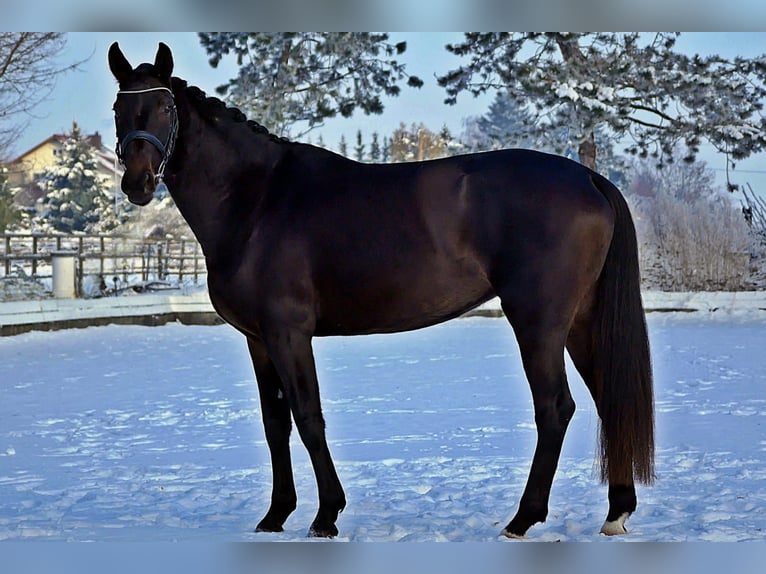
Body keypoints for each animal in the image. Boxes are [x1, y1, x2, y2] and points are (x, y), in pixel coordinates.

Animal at [111, 42, 656, 544]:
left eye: (164, 108)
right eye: (120, 109)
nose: (137, 183)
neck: (257, 199)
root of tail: (589, 178)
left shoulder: (289, 333)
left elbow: (308, 418)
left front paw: (326, 515)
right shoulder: (258, 339)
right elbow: (274, 424)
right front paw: (275, 516)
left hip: (538, 321)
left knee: (555, 408)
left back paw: (522, 519)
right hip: (580, 320)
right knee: (608, 401)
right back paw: (616, 513)